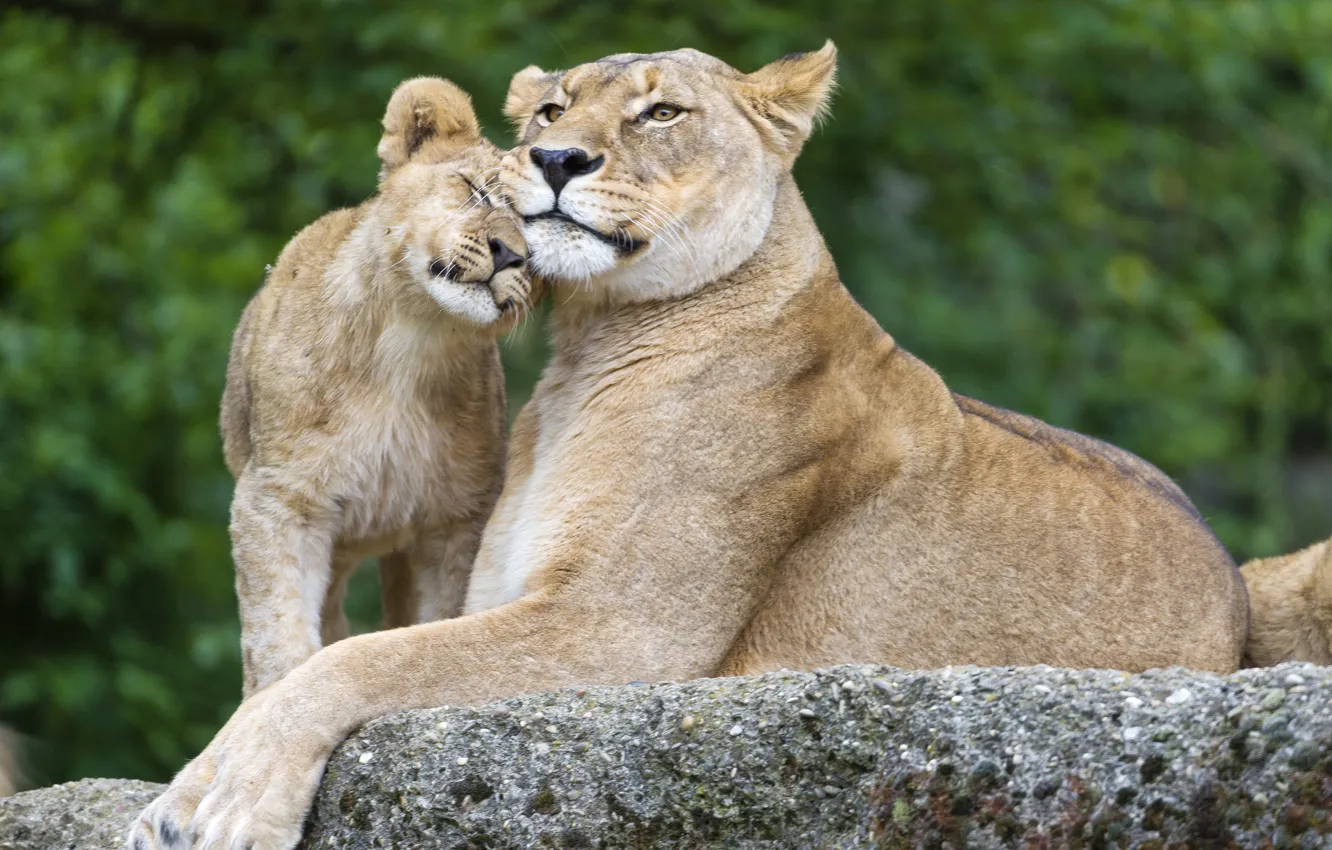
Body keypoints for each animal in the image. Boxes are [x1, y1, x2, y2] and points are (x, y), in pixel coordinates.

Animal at [219, 76, 533, 698]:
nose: (511, 254)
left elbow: (440, 620)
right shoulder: (279, 498)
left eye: (542, 228)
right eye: (475, 191)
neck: (413, 345)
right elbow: (276, 631)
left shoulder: (455, 518)